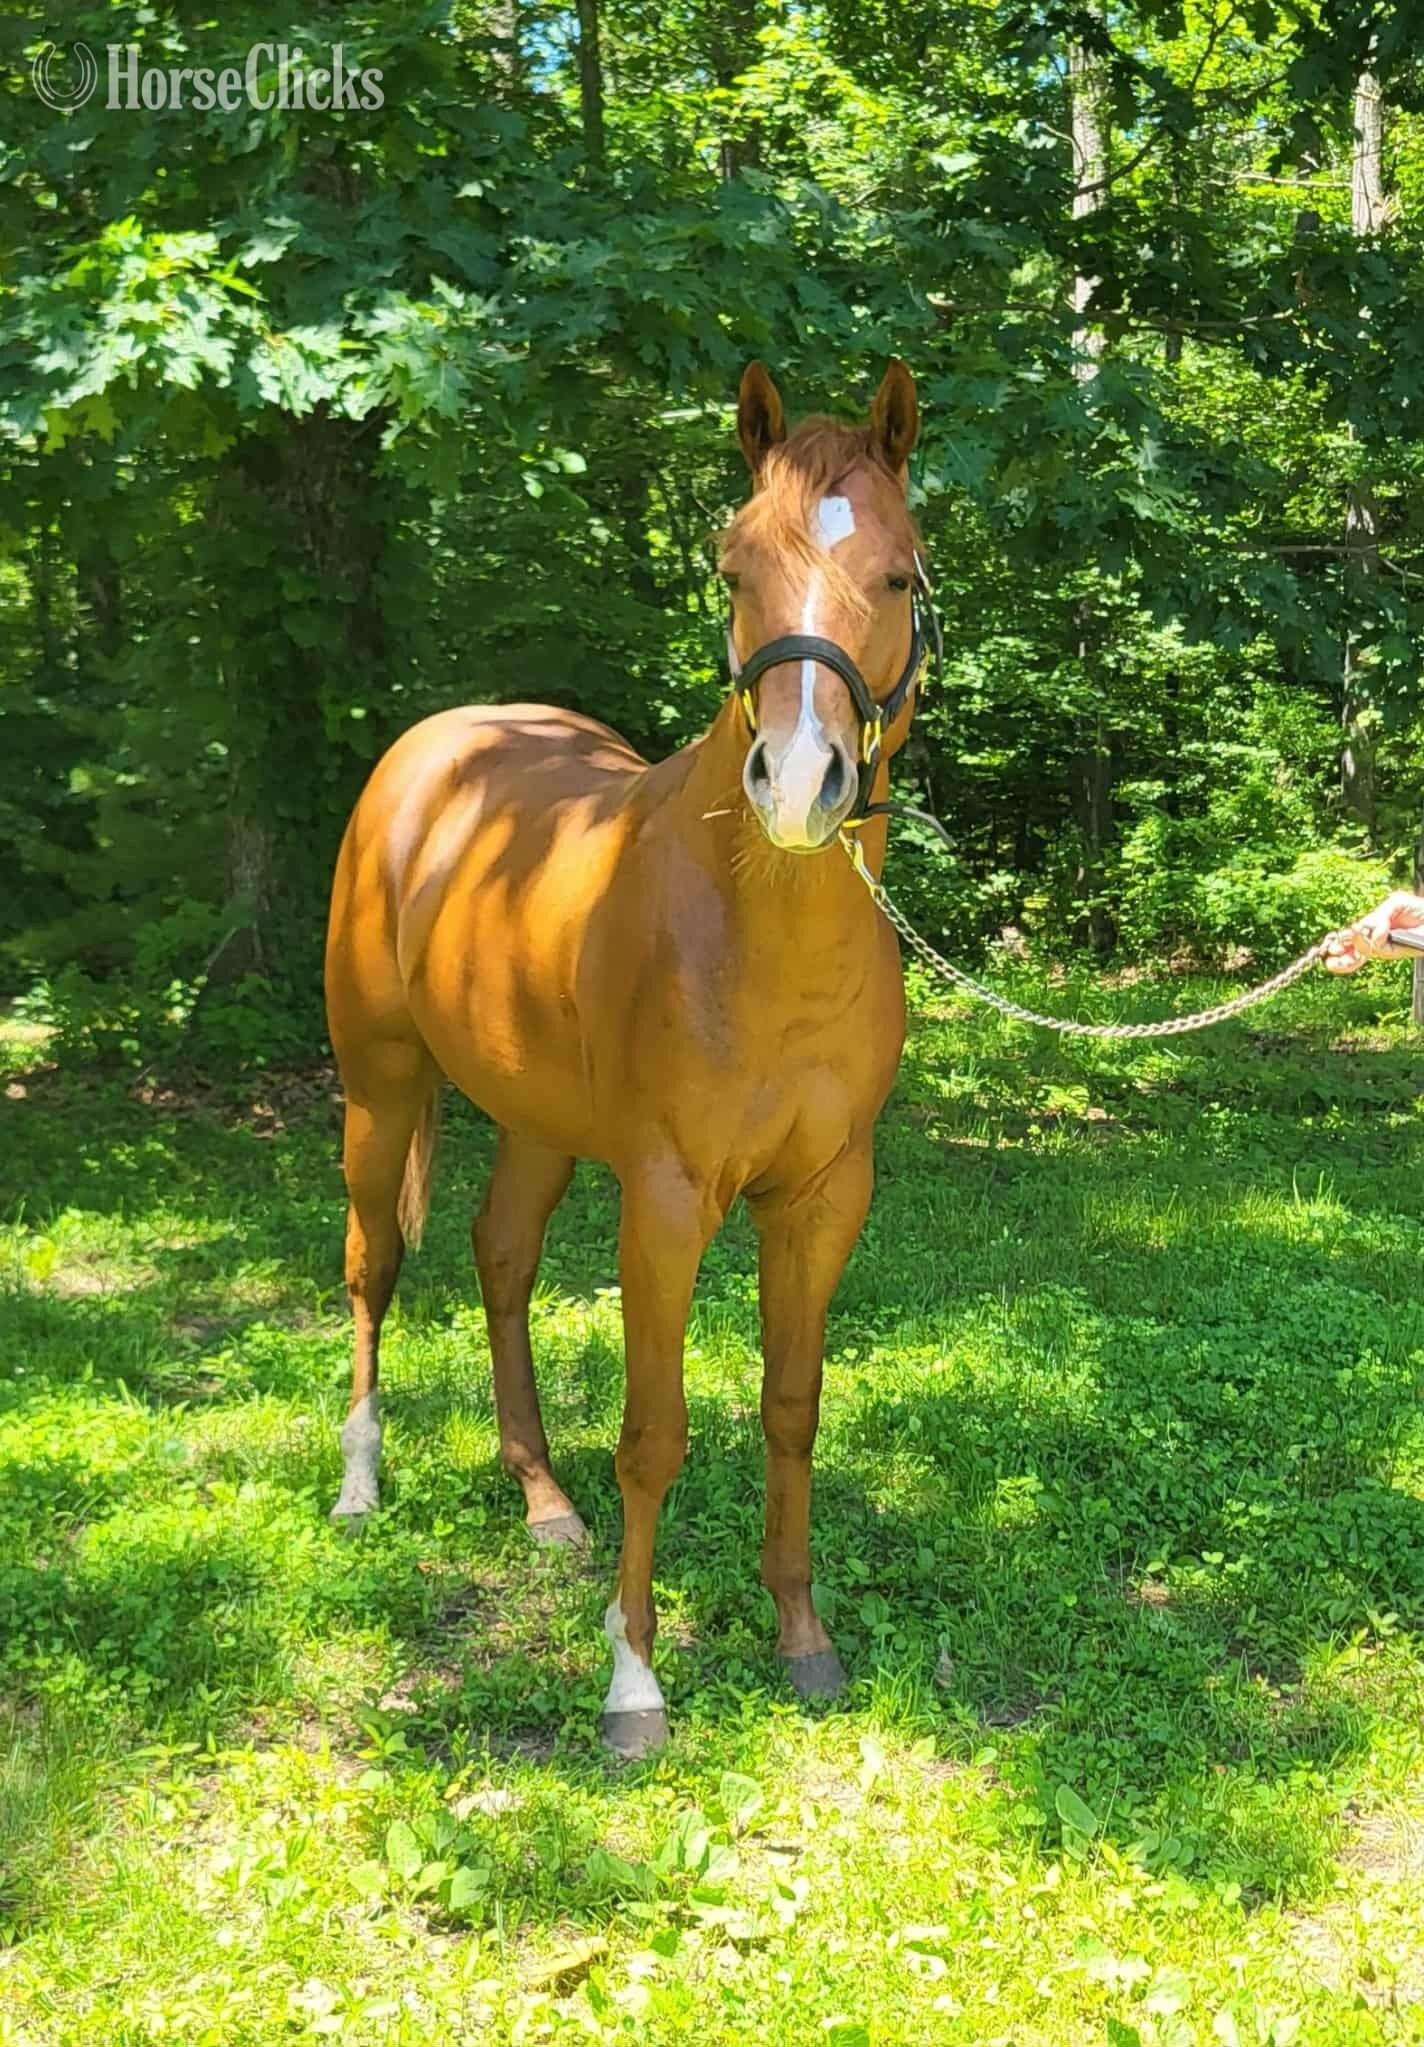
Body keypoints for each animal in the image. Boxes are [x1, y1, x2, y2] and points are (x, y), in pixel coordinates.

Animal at [324, 360, 927, 1756]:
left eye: (897, 575)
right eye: (731, 568)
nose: (799, 782)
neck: (760, 929)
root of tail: (436, 745)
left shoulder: (824, 1197)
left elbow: (791, 1403)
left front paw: (800, 1637)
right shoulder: (662, 1197)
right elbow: (654, 1432)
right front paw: (633, 1681)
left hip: (536, 1121)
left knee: (498, 1256)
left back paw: (541, 1500)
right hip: (379, 1089)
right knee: (375, 1265)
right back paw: (360, 1483)